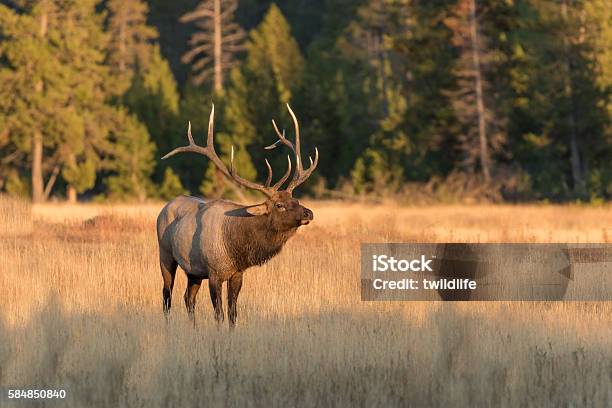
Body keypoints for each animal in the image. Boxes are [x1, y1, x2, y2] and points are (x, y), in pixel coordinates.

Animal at [158, 104, 318, 326]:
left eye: (296, 200)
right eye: (279, 205)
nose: (308, 212)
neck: (235, 247)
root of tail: (165, 207)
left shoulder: (237, 273)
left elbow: (233, 313)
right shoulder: (214, 273)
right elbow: (219, 314)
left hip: (193, 271)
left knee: (188, 298)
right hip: (165, 255)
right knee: (167, 296)